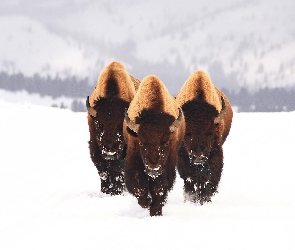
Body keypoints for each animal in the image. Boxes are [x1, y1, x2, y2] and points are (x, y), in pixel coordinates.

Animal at [86, 61, 140, 196]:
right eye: (99, 123)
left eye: (121, 125)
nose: (109, 149)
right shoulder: (95, 146)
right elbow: (103, 170)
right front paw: (107, 190)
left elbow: (117, 170)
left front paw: (116, 191)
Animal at [124, 74, 185, 215]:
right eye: (141, 143)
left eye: (166, 142)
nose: (153, 168)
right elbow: (138, 185)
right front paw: (146, 202)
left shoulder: (167, 164)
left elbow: (160, 188)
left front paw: (155, 210)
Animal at [176, 70, 234, 205]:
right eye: (188, 133)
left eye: (209, 133)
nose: (198, 157)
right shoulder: (182, 156)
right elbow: (190, 179)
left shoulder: (216, 152)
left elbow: (210, 178)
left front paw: (205, 199)